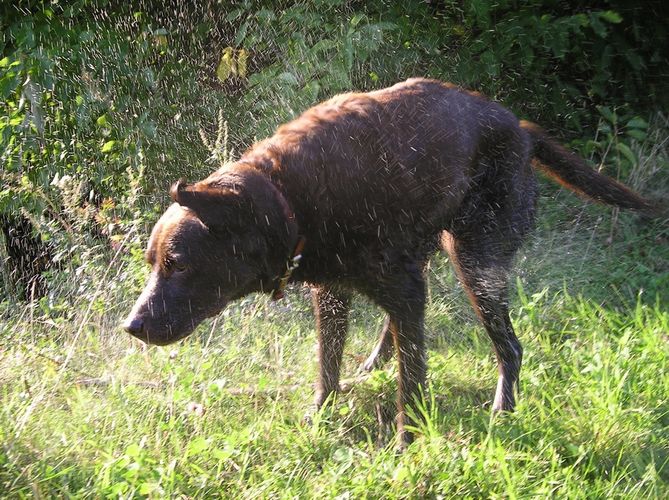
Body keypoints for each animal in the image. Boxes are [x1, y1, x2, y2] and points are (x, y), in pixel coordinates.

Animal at [122, 80, 656, 448]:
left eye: (177, 264)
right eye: (154, 262)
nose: (132, 326)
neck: (292, 199)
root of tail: (522, 131)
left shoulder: (397, 287)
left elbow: (412, 384)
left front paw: (406, 445)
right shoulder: (334, 294)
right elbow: (328, 369)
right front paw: (320, 417)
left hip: (475, 262)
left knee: (509, 346)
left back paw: (503, 407)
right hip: (433, 260)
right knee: (405, 329)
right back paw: (377, 360)